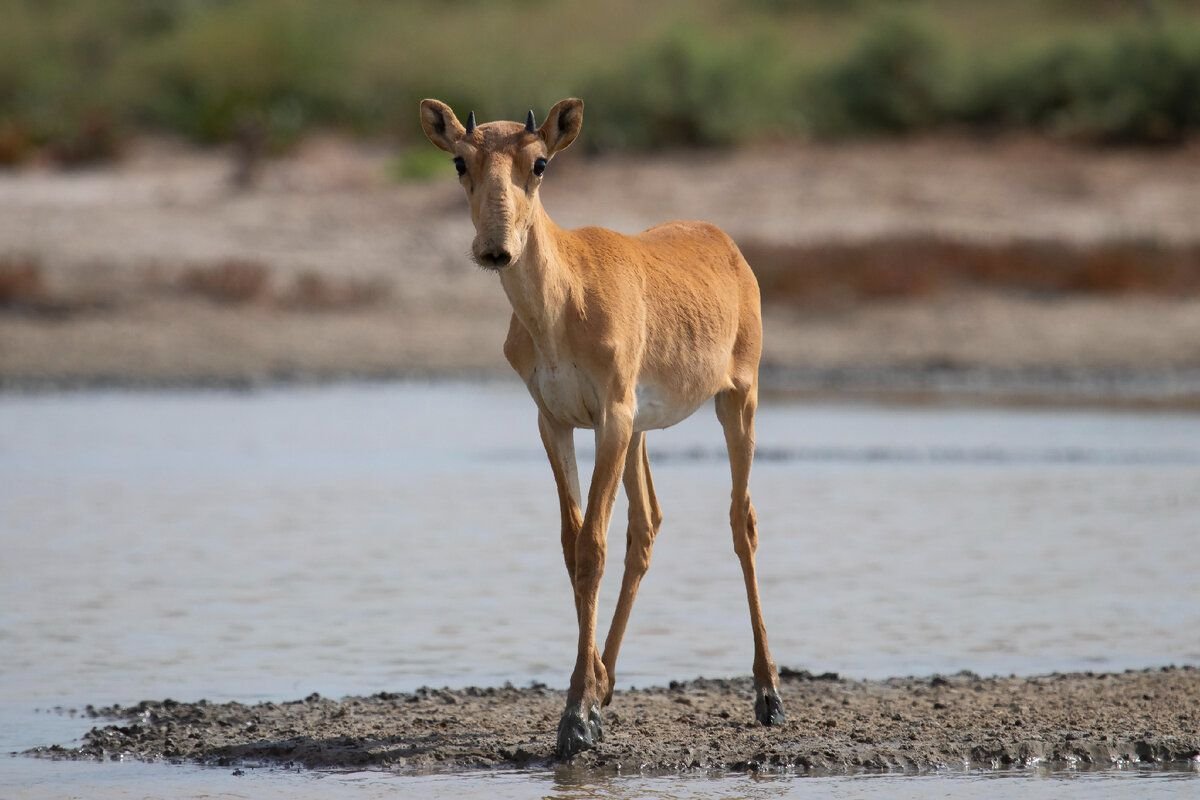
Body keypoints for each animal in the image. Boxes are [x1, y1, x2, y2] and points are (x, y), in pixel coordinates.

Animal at [422, 98, 787, 758]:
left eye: (540, 162)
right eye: (460, 160)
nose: (495, 250)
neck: (565, 300)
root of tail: (724, 243)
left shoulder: (609, 420)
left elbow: (592, 545)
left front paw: (575, 719)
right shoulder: (556, 423)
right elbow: (573, 546)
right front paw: (590, 700)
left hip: (736, 401)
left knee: (741, 521)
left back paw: (769, 695)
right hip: (643, 431)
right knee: (647, 526)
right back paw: (610, 681)